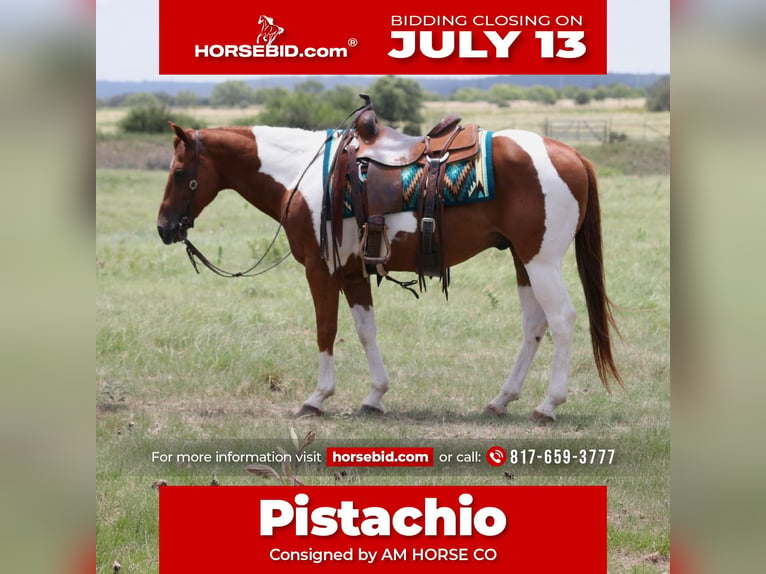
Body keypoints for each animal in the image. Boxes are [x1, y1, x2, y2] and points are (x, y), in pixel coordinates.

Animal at [156, 115, 622, 422]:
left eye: (179, 172)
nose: (164, 228)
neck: (303, 176)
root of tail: (572, 153)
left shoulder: (321, 270)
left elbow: (326, 330)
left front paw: (317, 397)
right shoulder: (352, 271)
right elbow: (366, 330)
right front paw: (374, 396)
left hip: (542, 261)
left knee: (562, 320)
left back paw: (548, 405)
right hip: (524, 260)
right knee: (534, 325)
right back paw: (502, 399)